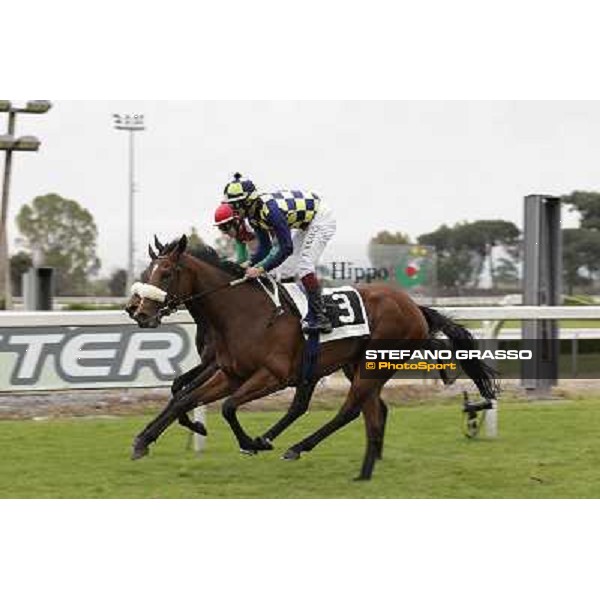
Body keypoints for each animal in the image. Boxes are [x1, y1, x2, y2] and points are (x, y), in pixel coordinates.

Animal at [130, 234, 496, 478]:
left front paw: (252, 442)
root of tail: (413, 305)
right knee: (371, 409)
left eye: (165, 273)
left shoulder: (273, 375)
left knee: (350, 410)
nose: (140, 312)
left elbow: (228, 406)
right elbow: (184, 397)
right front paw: (143, 440)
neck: (243, 313)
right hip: (354, 365)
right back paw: (367, 461)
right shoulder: (230, 373)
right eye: (148, 272)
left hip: (373, 365)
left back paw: (297, 447)